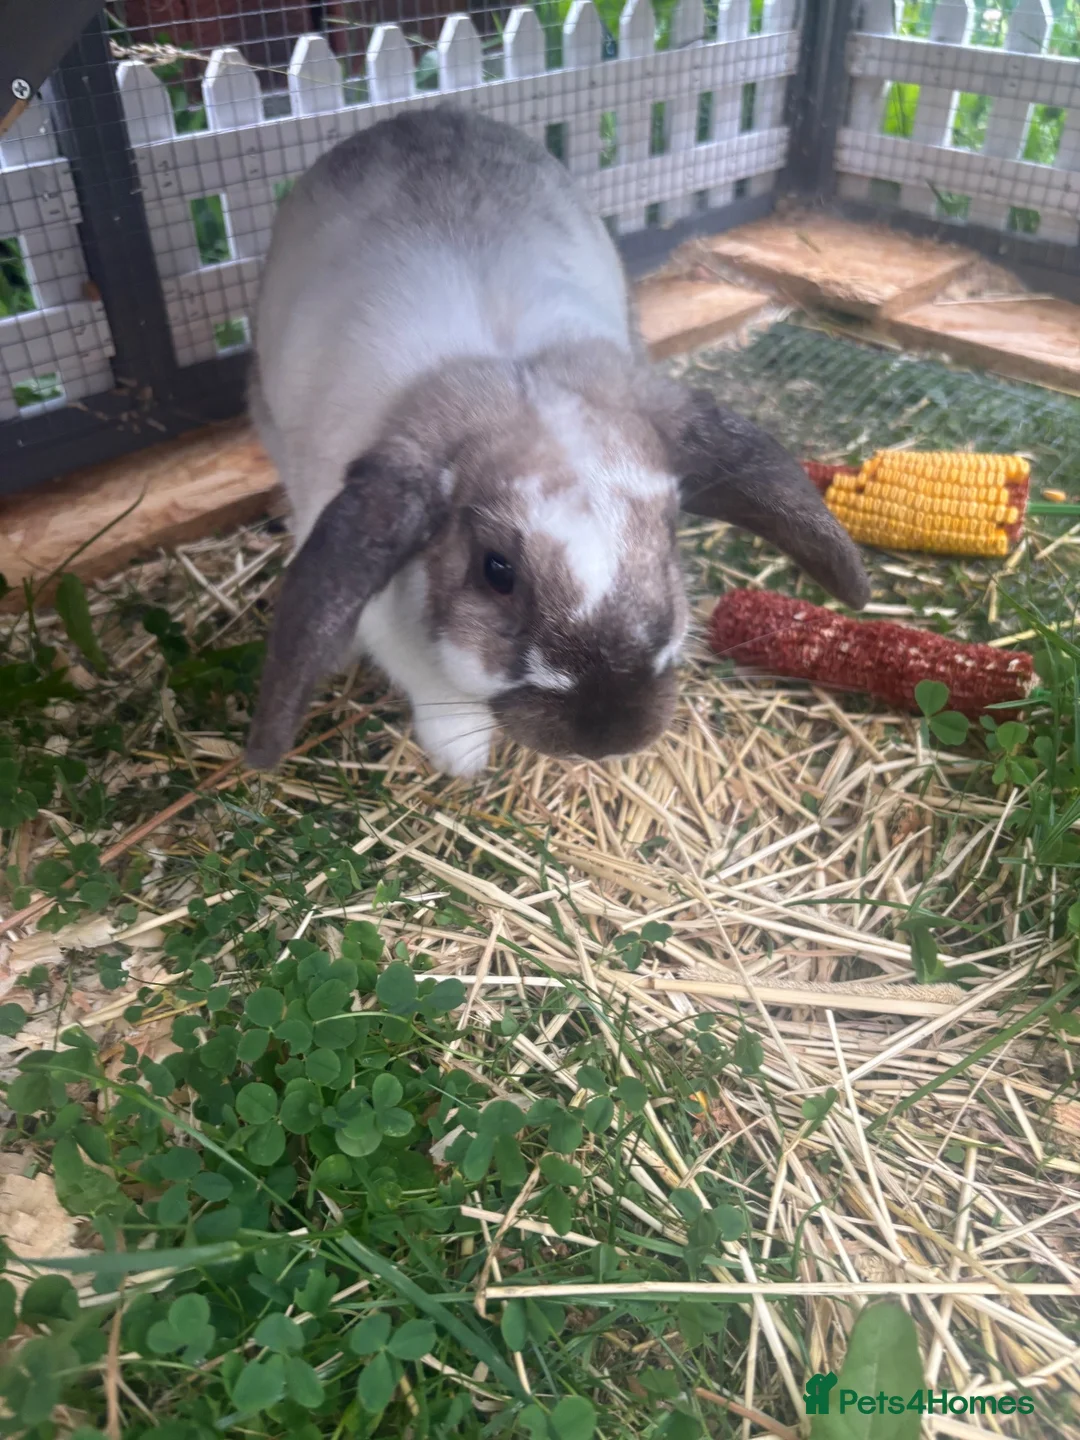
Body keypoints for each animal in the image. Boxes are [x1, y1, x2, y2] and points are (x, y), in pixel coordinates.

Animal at [245, 105, 869, 779]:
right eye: (496, 571)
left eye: (669, 538)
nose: (608, 731)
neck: (512, 366)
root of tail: (418, 114)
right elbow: (439, 694)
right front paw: (462, 758)